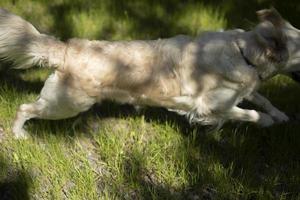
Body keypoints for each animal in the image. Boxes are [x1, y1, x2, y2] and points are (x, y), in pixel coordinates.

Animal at [0, 8, 298, 139]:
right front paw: (267, 121)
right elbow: (248, 113)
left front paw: (280, 114)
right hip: (66, 104)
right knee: (24, 108)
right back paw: (18, 134)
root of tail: (66, 48)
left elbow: (261, 98)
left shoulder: (243, 90)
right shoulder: (208, 107)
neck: (245, 53)